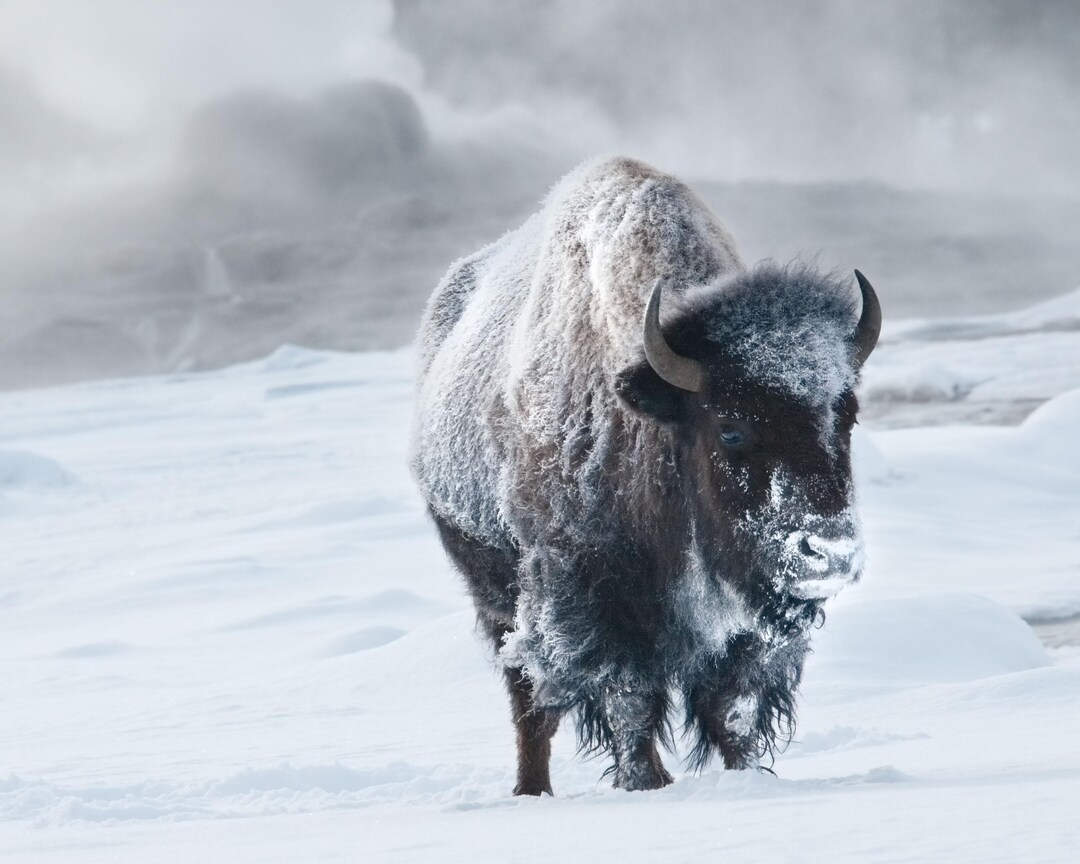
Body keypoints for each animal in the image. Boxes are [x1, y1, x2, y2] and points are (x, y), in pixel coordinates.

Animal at [410, 157, 881, 794]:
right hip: (500, 598)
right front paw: (646, 783)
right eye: (730, 428)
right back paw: (532, 790)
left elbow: (732, 708)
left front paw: (746, 778)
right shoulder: (593, 599)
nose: (829, 553)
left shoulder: (745, 625)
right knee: (530, 703)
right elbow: (629, 699)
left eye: (846, 413)